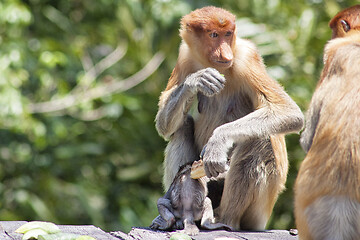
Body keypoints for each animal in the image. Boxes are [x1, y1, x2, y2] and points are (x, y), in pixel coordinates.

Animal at [155, 6, 304, 231]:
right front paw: (197, 80)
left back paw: (223, 220)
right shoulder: (185, 56)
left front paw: (217, 143)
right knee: (182, 126)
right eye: (213, 35)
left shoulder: (245, 58)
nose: (225, 53)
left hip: (257, 212)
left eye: (228, 34)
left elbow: (288, 111)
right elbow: (163, 124)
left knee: (260, 139)